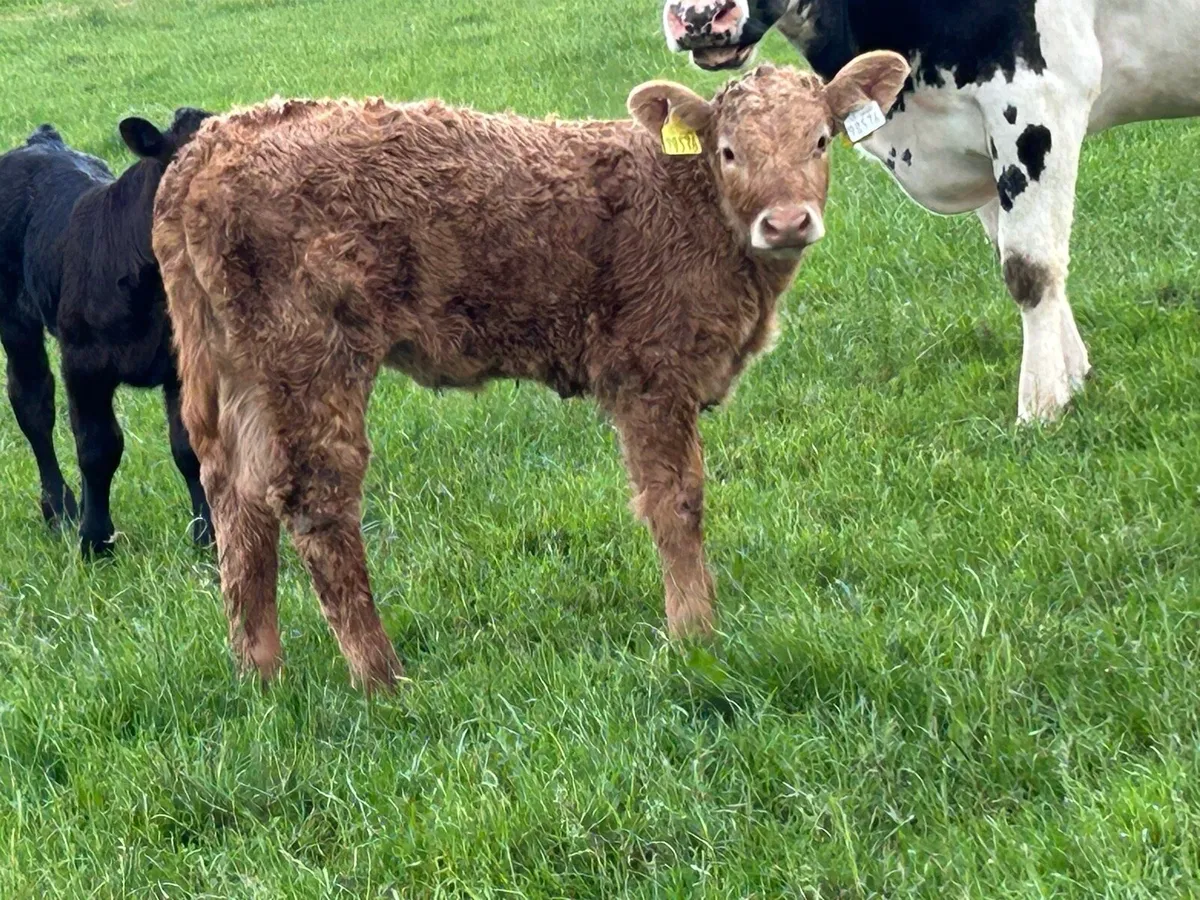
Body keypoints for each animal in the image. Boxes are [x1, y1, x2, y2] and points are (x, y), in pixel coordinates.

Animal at [0, 109, 214, 555]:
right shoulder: (85, 363)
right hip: (15, 320)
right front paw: (95, 541)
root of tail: (39, 142)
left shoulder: (183, 365)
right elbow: (98, 447)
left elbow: (189, 448)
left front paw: (208, 538)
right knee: (33, 405)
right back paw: (61, 511)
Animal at [153, 55, 910, 691]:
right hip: (310, 357)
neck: (690, 205)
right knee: (317, 503)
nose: (787, 222)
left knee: (237, 499)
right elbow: (677, 502)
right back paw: (382, 680)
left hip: (242, 369)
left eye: (820, 140)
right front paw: (695, 636)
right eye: (729, 150)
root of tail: (212, 144)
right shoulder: (653, 371)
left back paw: (261, 674)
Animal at [663, 0, 1200, 422]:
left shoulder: (1036, 97)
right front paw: (1073, 378)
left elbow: (1030, 267)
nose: (697, 18)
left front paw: (1041, 406)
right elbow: (1017, 252)